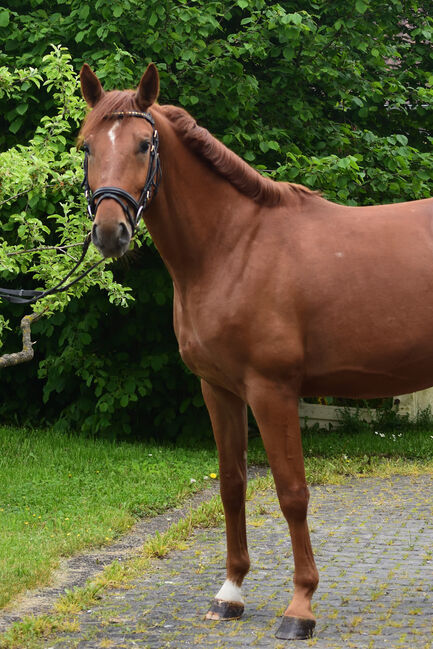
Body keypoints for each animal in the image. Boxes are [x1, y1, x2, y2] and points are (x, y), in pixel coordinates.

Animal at [79, 63, 430, 640]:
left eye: (145, 145)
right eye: (86, 146)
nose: (111, 232)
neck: (233, 246)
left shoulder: (272, 390)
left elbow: (291, 492)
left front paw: (300, 606)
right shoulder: (219, 389)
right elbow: (232, 484)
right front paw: (231, 592)